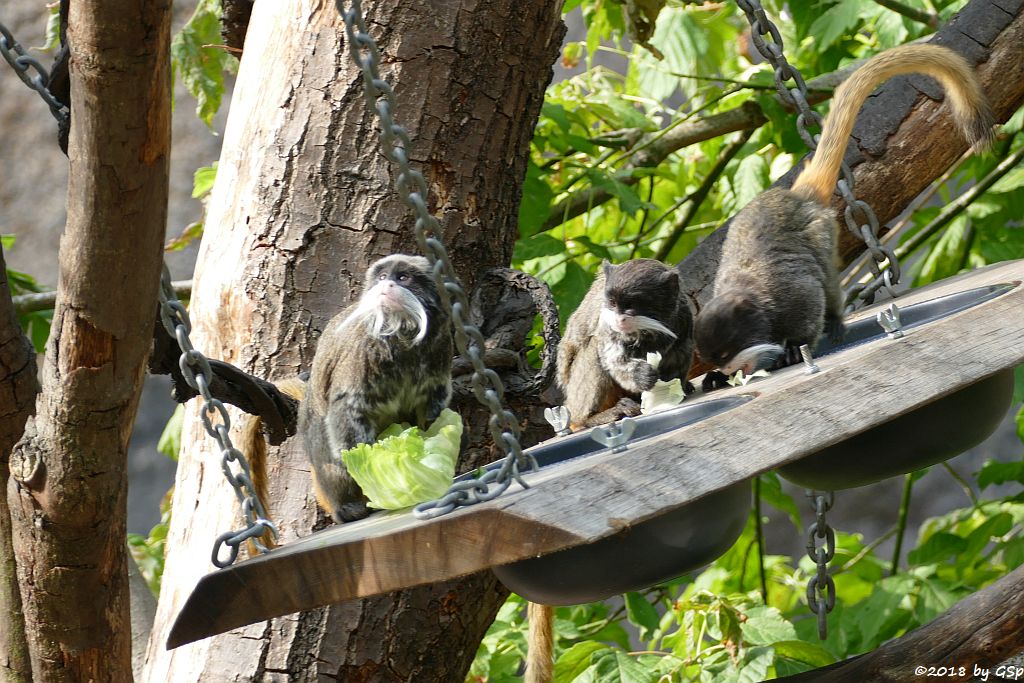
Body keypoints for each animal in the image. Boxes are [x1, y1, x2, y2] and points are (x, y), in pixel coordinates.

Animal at [243, 253, 452, 528]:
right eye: (382, 277)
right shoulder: (363, 350)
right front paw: (370, 465)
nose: (386, 286)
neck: (402, 336)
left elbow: (432, 404)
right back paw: (347, 508)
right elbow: (347, 408)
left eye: (402, 277)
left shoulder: (440, 345)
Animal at [561, 260, 696, 428]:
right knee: (594, 346)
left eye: (630, 305)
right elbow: (614, 361)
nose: (620, 319)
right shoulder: (607, 321)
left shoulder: (683, 314)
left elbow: (681, 349)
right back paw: (589, 418)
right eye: (612, 303)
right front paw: (641, 376)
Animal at [692, 45, 995, 378]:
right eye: (716, 358)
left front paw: (795, 350)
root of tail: (798, 195)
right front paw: (718, 379)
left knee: (824, 271)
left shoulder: (789, 294)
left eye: (725, 353)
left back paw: (835, 316)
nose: (729, 369)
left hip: (820, 226)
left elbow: (811, 300)